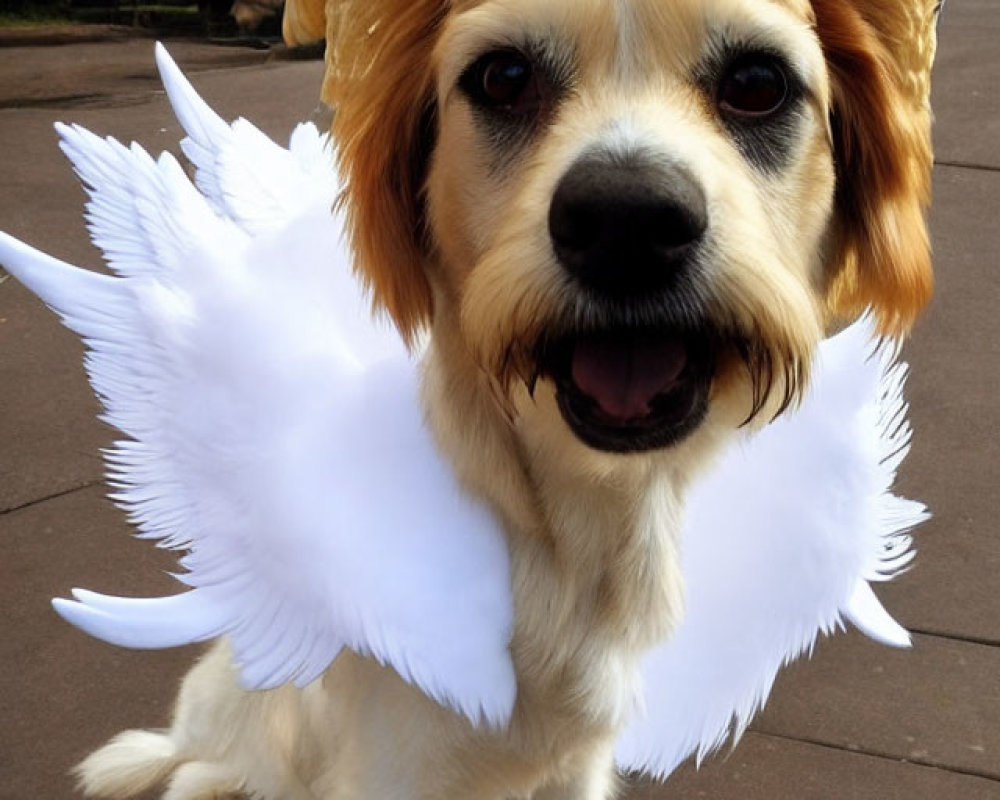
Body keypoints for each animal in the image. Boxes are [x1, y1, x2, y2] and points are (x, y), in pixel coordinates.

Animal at [78, 1, 936, 800]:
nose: (626, 224)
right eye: (504, 78)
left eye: (758, 83)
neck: (563, 530)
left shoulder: (575, 768)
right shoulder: (396, 769)